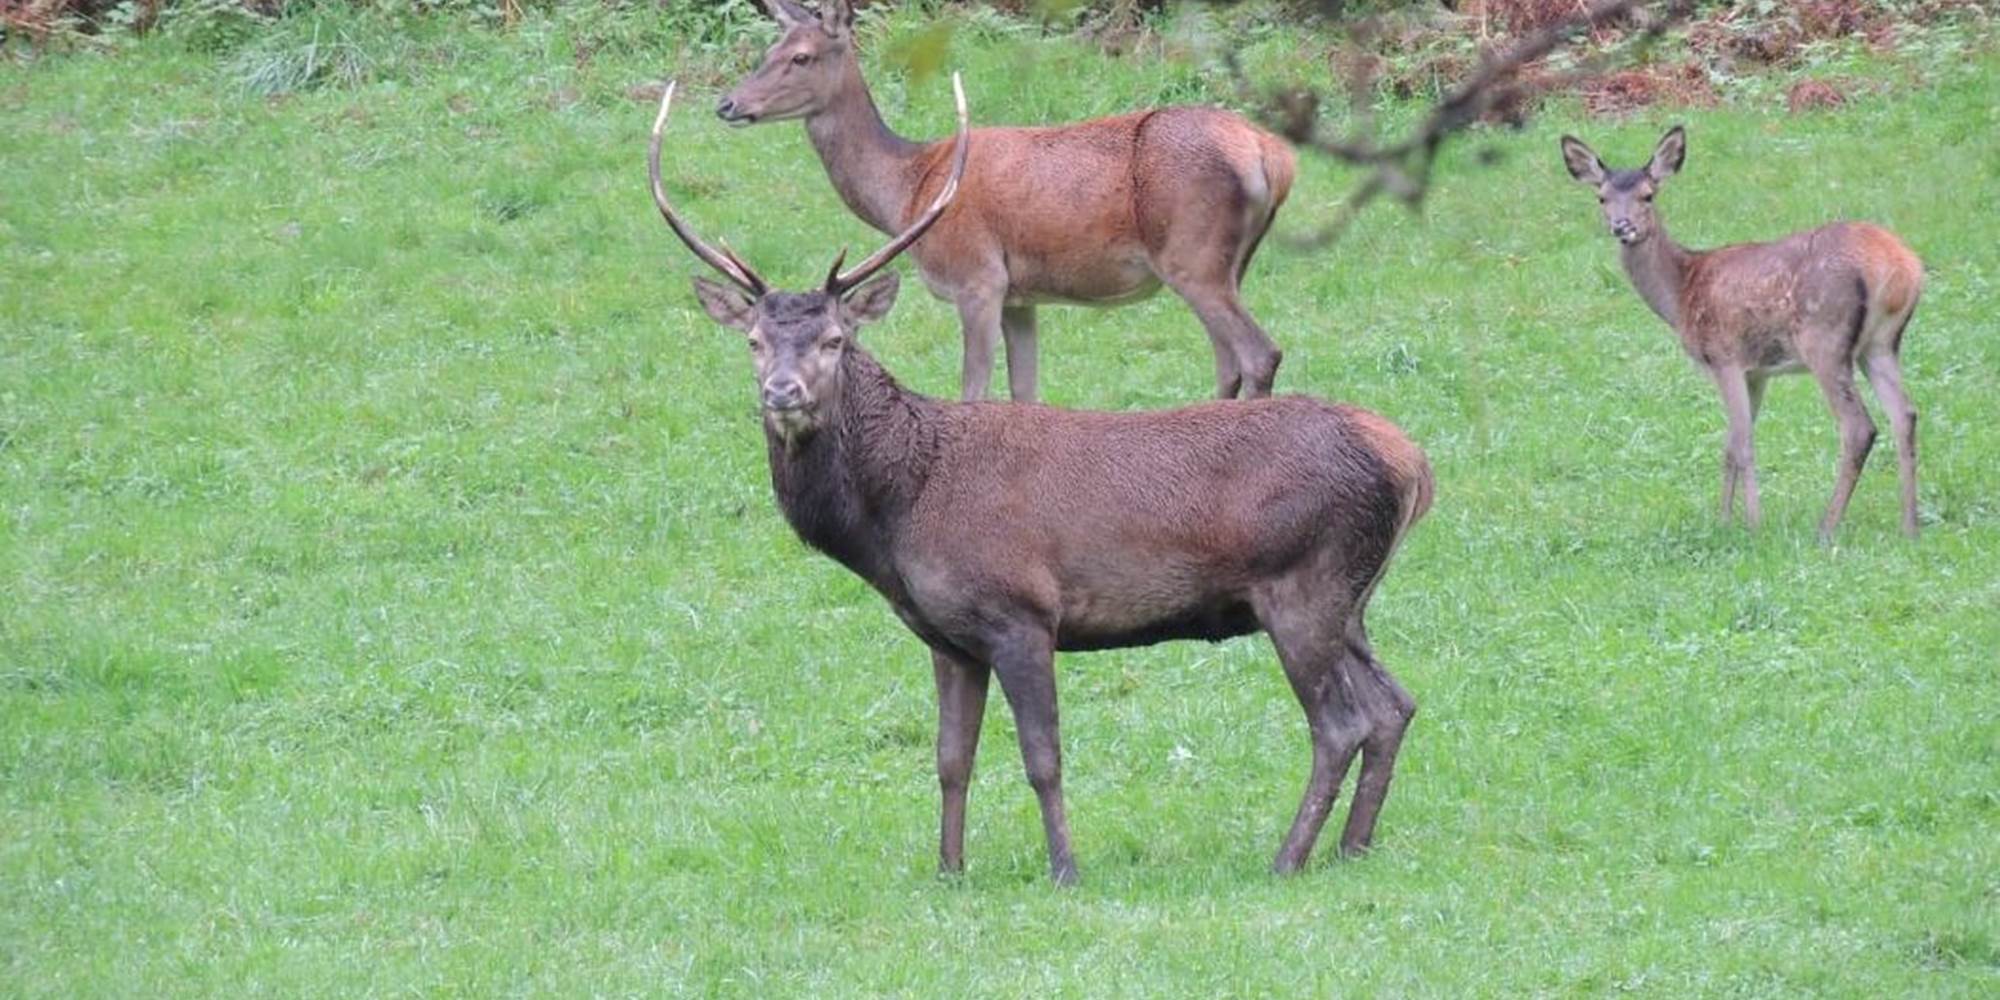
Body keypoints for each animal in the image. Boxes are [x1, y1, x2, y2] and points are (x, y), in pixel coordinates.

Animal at [649, 75, 1433, 884]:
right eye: (753, 341)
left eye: (836, 340)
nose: (783, 392)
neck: (898, 514)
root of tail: (1412, 462)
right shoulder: (948, 638)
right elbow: (950, 760)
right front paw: (950, 870)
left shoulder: (1020, 612)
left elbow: (1042, 757)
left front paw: (1064, 868)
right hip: (1350, 599)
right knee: (1395, 705)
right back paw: (1352, 845)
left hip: (1304, 584)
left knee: (1342, 722)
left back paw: (1288, 857)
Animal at [713, 0, 1296, 404]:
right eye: (767, 52)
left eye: (801, 57)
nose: (728, 104)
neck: (908, 190)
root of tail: (1274, 157)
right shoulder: (1021, 295)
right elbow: (1025, 391)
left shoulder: (978, 278)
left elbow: (973, 390)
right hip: (1229, 264)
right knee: (1228, 360)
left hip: (1192, 255)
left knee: (1258, 353)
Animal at [1560, 126, 1925, 541]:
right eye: (1602, 197)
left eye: (1648, 195)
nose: (1621, 226)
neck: (1681, 293)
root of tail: (1901, 267)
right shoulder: (1757, 372)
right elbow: (1730, 443)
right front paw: (1724, 520)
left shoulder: (1724, 357)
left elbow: (1743, 443)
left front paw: (1752, 524)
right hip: (1880, 344)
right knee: (1905, 414)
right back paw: (1909, 525)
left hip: (1824, 339)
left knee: (1858, 426)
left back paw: (1827, 527)